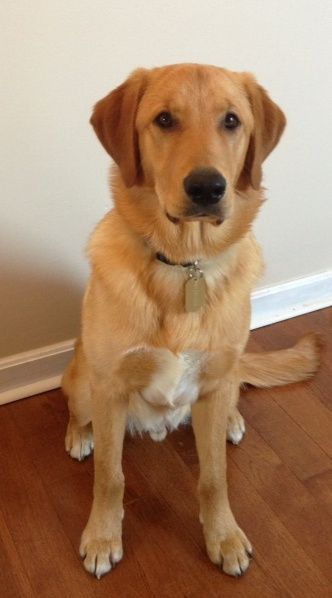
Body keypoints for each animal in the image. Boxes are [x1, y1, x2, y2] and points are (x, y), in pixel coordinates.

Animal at [61, 64, 320, 580]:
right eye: (164, 119)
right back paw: (80, 435)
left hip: (226, 376)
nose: (207, 188)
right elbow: (110, 477)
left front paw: (224, 537)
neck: (185, 263)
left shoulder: (216, 381)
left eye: (231, 120)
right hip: (82, 381)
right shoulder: (109, 388)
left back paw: (232, 420)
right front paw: (102, 537)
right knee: (79, 413)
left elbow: (214, 479)